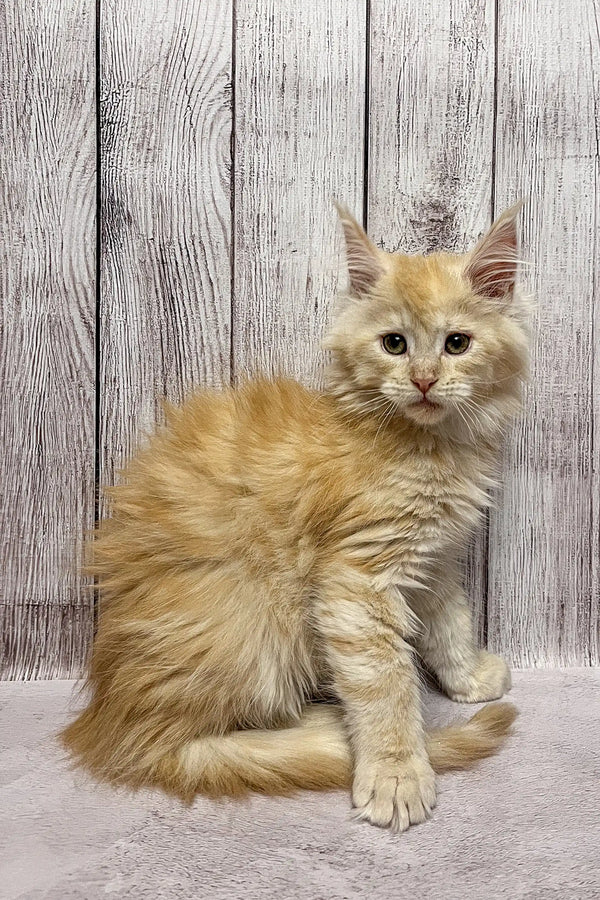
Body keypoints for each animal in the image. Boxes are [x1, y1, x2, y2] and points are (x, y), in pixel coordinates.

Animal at [63, 202, 528, 828]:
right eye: (394, 344)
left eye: (457, 343)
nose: (424, 379)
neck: (425, 446)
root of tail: (106, 726)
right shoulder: (357, 578)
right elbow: (385, 680)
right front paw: (396, 772)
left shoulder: (432, 559)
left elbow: (449, 623)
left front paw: (468, 677)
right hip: (252, 622)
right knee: (187, 741)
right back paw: (325, 728)